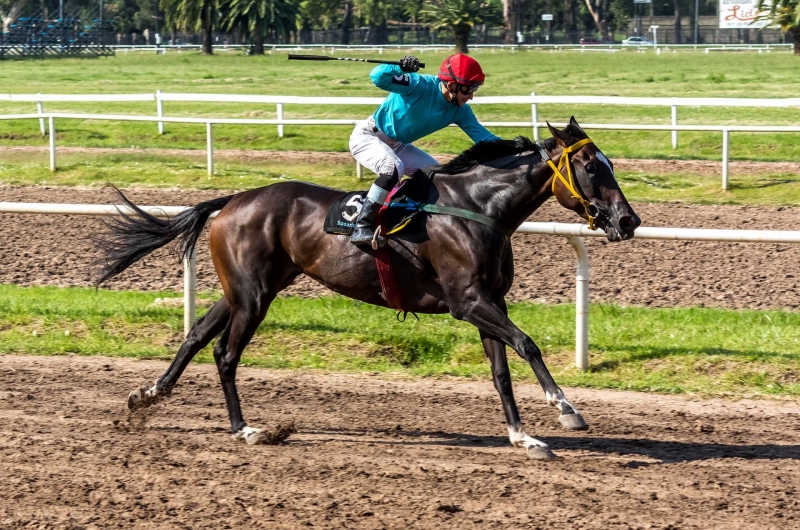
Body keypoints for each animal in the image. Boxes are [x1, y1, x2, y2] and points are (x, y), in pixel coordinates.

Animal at [97, 118, 640, 458]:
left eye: (609, 164)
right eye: (593, 167)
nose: (628, 220)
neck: (476, 208)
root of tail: (234, 199)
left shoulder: (490, 301)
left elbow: (501, 371)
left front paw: (523, 437)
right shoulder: (468, 302)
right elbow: (527, 344)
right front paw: (567, 410)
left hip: (249, 288)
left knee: (197, 335)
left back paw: (148, 395)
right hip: (253, 297)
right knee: (226, 355)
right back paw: (245, 429)